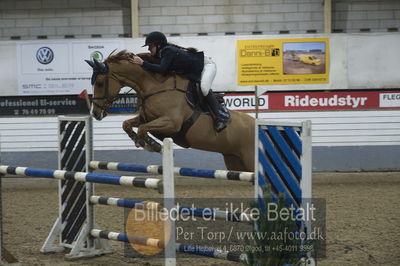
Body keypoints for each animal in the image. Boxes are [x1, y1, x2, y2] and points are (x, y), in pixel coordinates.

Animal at [85, 50, 255, 171]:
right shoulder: (146, 117)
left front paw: (155, 147)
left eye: (99, 83)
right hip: (234, 160)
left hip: (248, 159)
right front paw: (140, 141)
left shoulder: (172, 123)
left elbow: (142, 129)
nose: (95, 113)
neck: (154, 87)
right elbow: (127, 124)